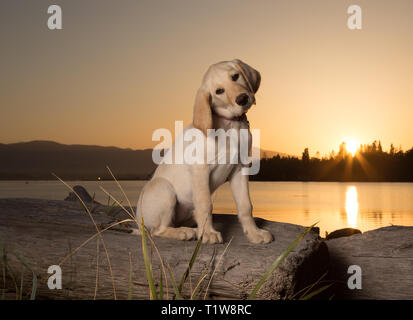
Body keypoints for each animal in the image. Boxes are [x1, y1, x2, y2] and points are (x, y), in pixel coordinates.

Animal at [136, 60, 274, 244]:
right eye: (219, 91)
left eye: (235, 77)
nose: (242, 98)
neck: (230, 125)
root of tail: (138, 225)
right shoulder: (200, 168)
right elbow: (205, 204)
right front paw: (208, 233)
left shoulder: (240, 168)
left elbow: (245, 205)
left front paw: (254, 233)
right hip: (163, 187)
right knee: (157, 230)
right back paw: (184, 232)